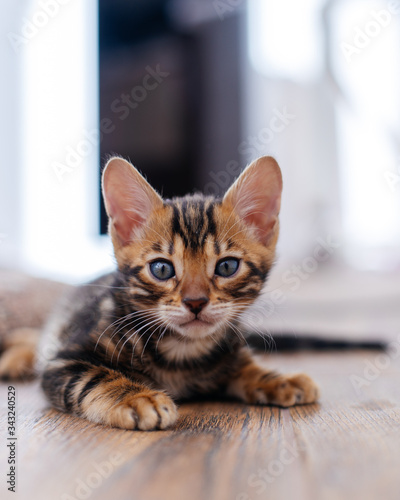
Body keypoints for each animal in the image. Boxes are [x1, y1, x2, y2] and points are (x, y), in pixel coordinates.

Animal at [36, 156, 318, 430]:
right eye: (161, 269)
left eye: (227, 267)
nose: (195, 302)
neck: (182, 351)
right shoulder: (62, 362)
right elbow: (95, 377)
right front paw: (136, 397)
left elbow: (244, 366)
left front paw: (278, 378)